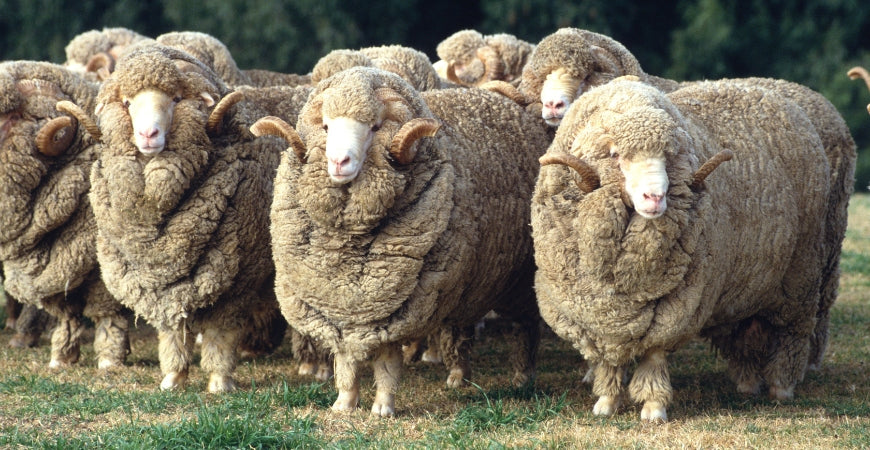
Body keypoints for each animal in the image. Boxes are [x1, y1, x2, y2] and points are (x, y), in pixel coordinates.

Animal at [0, 61, 131, 368]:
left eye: (10, 118)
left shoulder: (102, 263)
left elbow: (108, 312)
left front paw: (110, 358)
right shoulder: (60, 266)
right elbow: (67, 314)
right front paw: (62, 356)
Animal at [86, 43, 289, 392]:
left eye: (176, 99)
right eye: (127, 103)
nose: (148, 134)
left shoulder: (237, 282)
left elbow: (220, 334)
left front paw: (220, 382)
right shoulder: (162, 282)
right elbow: (172, 330)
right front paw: (173, 378)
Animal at [252, 66, 551, 416]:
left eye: (375, 127)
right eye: (325, 126)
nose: (339, 162)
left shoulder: (395, 308)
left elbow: (386, 363)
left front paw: (383, 407)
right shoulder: (341, 310)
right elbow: (345, 362)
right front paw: (344, 403)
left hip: (519, 282)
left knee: (525, 328)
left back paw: (523, 377)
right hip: (465, 283)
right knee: (462, 326)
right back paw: (459, 375)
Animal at [530, 77, 853, 422]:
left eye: (669, 157)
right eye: (615, 154)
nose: (655, 197)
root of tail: (775, 93)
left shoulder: (678, 306)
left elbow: (653, 356)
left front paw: (653, 407)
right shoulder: (598, 316)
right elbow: (608, 362)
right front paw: (606, 401)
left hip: (801, 274)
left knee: (791, 334)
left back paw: (781, 387)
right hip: (749, 285)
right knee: (748, 334)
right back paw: (748, 384)